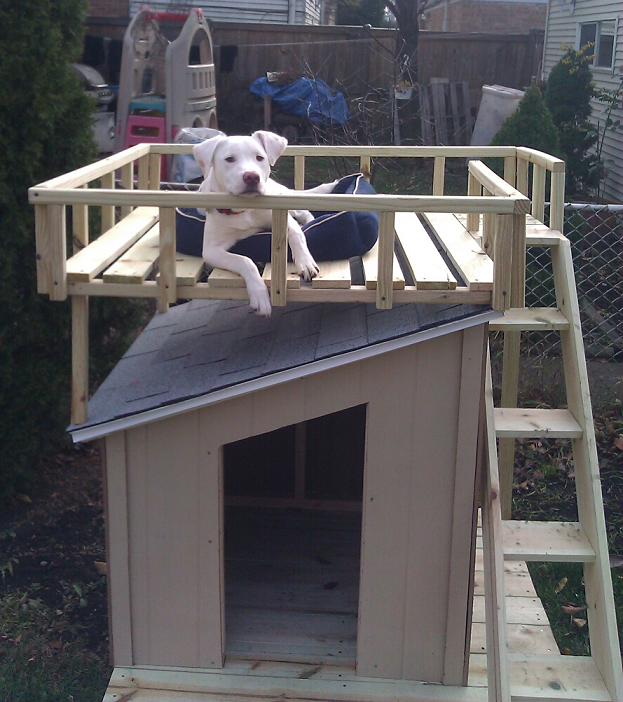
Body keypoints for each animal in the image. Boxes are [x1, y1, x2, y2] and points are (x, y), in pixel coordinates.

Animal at [194, 131, 336, 318]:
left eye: (259, 157)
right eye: (229, 159)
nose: (252, 176)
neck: (244, 209)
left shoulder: (282, 215)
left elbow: (297, 234)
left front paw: (305, 262)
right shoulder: (211, 250)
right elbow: (244, 260)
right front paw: (260, 295)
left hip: (284, 196)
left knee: (303, 212)